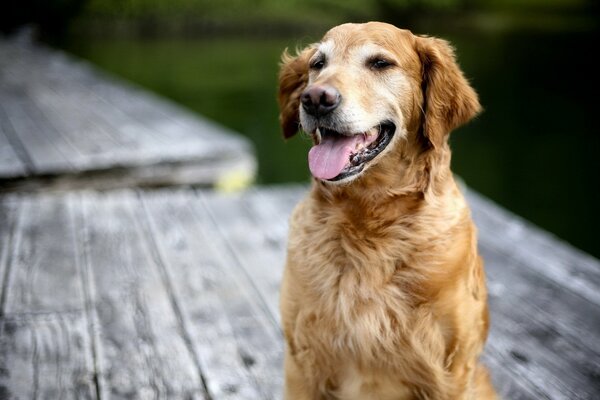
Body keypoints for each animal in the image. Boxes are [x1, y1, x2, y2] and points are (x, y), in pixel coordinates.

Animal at [276, 22, 496, 400]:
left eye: (380, 63)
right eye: (318, 64)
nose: (316, 98)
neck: (369, 216)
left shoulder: (452, 370)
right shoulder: (301, 359)